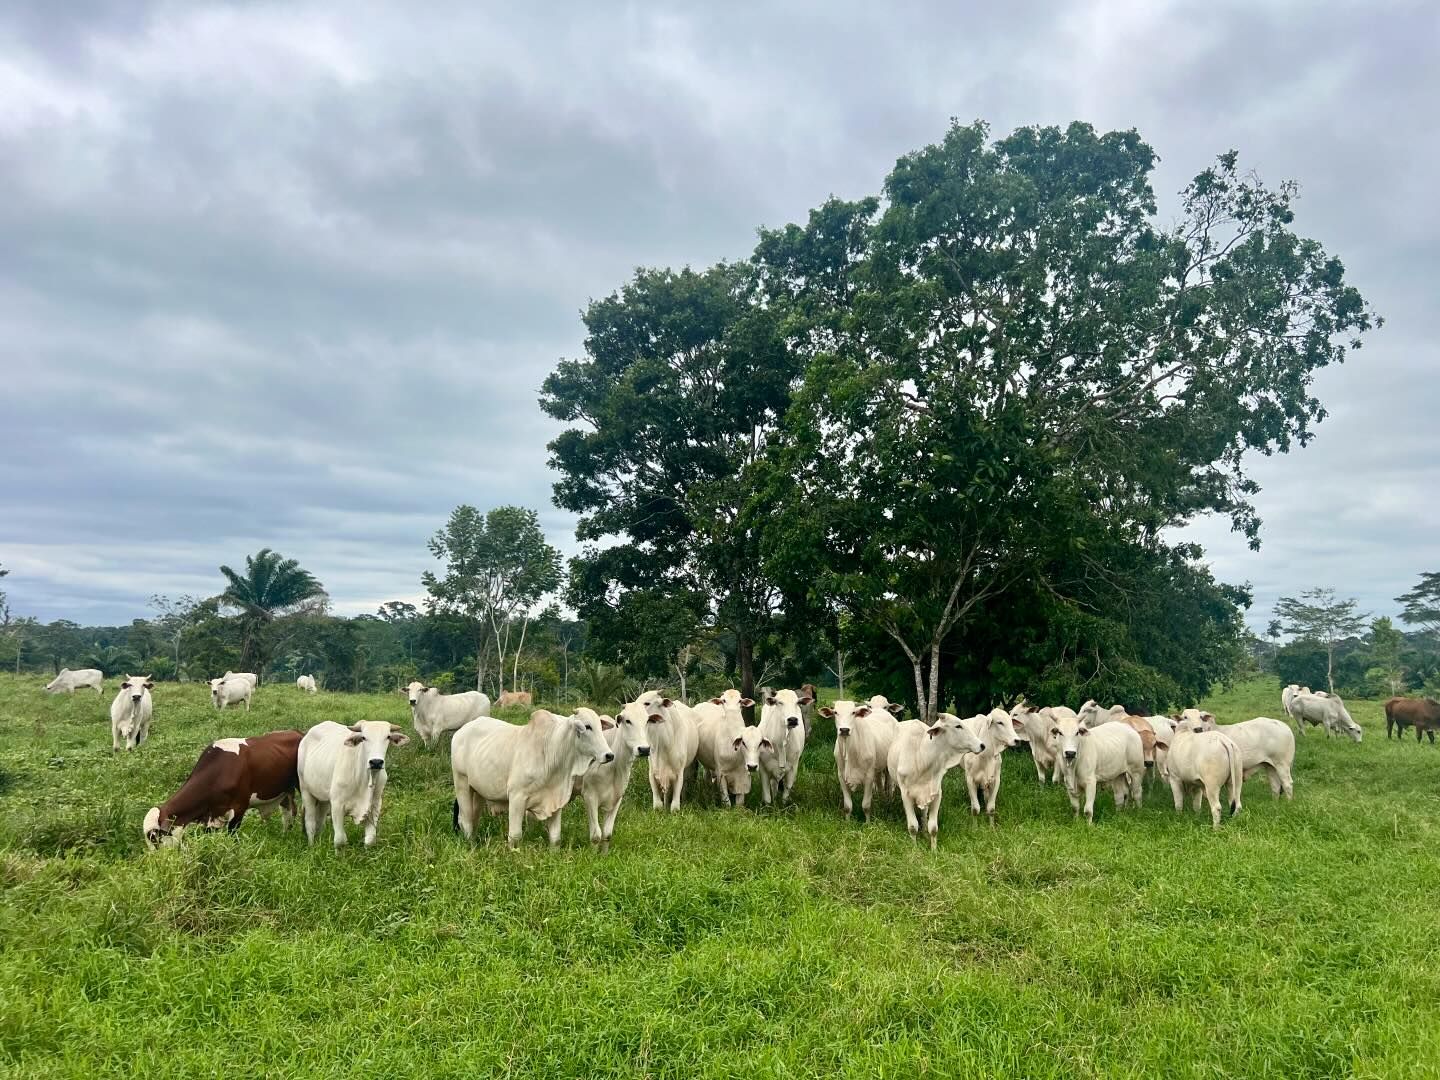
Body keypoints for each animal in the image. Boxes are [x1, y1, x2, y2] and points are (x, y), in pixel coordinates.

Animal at [141, 731, 302, 852]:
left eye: (155, 838)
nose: (158, 861)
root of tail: (295, 732)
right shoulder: (211, 817)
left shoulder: (239, 808)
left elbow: (232, 836)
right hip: (285, 791)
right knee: (288, 811)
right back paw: (285, 834)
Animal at [298, 722, 408, 852]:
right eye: (363, 737)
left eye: (388, 737)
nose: (376, 762)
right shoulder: (337, 805)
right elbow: (340, 840)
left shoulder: (375, 805)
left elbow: (370, 839)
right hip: (305, 790)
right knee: (310, 823)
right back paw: (312, 846)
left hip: (323, 798)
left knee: (320, 821)